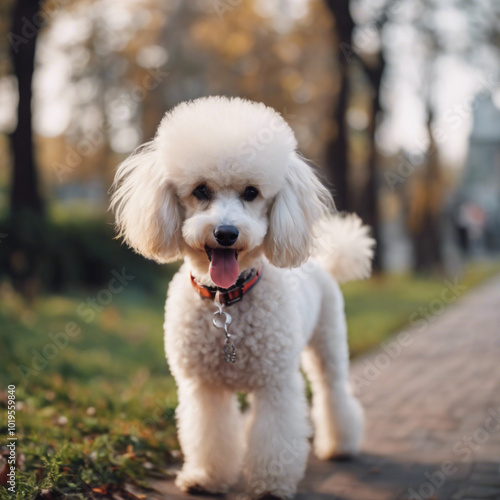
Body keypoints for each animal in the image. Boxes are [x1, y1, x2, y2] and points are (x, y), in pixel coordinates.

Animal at [110, 95, 376, 498]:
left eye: (251, 192)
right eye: (201, 190)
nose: (226, 233)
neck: (226, 302)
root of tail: (324, 265)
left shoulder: (275, 385)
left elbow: (275, 437)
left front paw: (270, 484)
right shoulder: (203, 388)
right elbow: (209, 434)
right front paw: (206, 477)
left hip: (328, 343)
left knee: (332, 391)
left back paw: (340, 444)